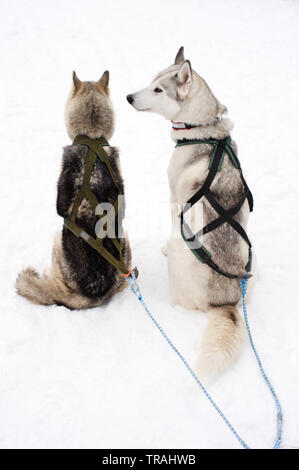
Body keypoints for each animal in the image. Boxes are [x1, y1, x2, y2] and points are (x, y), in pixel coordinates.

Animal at [127, 46, 254, 378]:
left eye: (159, 90)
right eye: (151, 82)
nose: (128, 97)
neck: (203, 130)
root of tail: (226, 303)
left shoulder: (175, 199)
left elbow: (172, 224)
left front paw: (163, 246)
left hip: (182, 262)